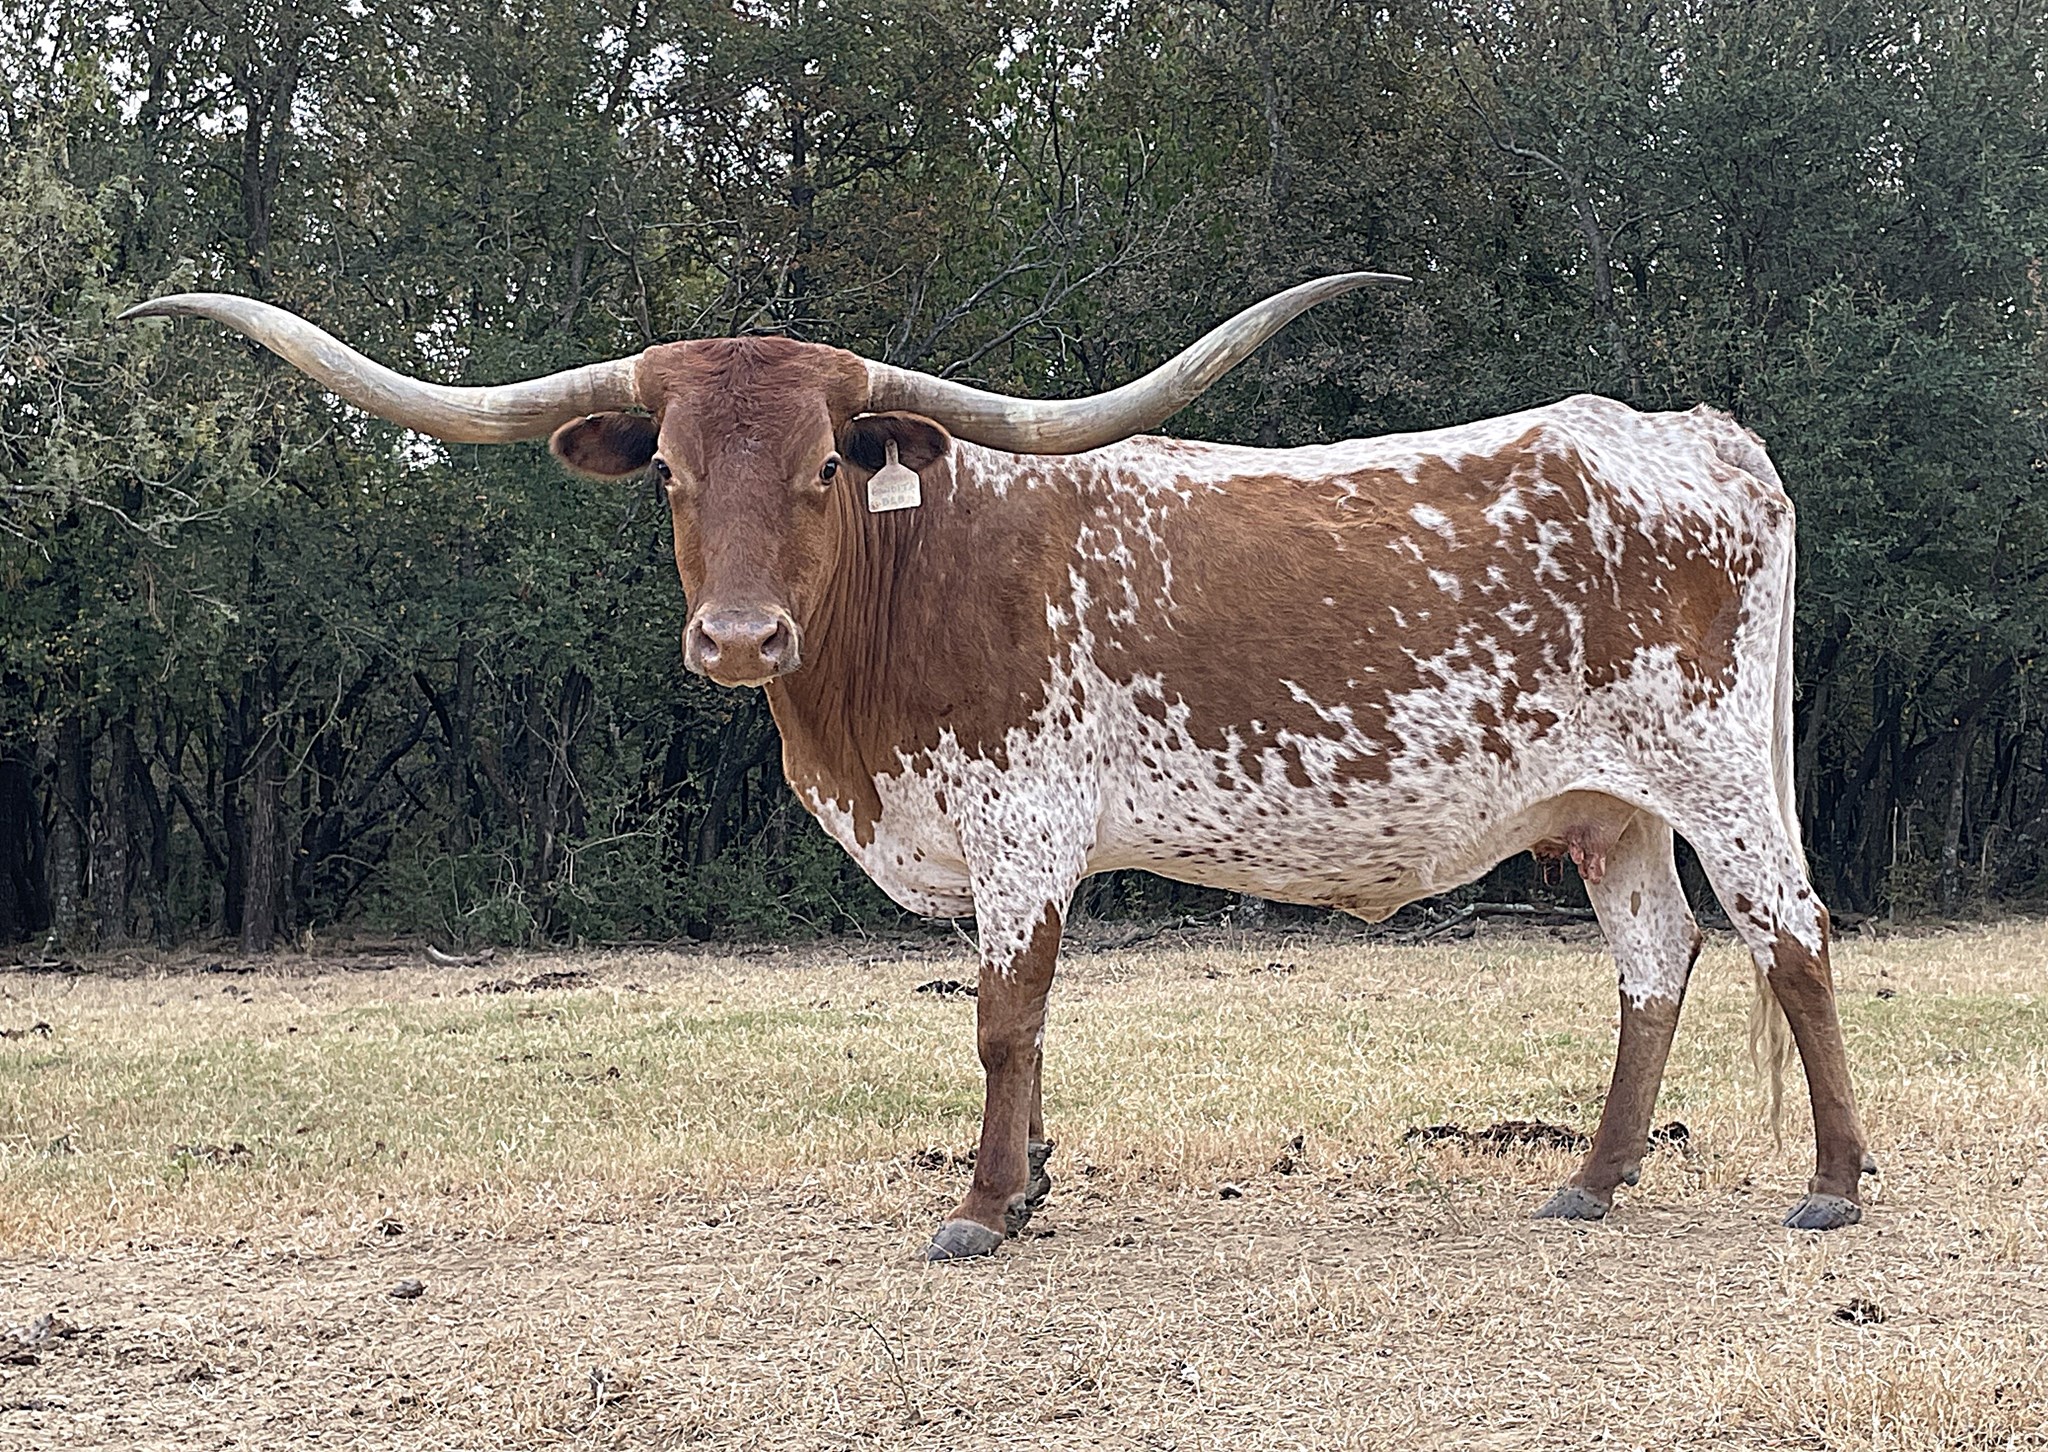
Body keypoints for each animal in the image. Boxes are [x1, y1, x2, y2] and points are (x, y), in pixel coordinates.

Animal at [123, 275, 1876, 1260]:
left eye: (826, 466)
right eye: (673, 474)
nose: (739, 639)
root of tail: (1700, 435)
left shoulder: (1024, 821)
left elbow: (1001, 1018)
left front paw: (979, 1210)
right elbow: (1020, 1026)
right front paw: (1024, 1191)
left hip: (1715, 771)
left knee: (1791, 937)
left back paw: (1837, 1183)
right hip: (1606, 807)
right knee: (1656, 958)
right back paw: (1593, 1181)